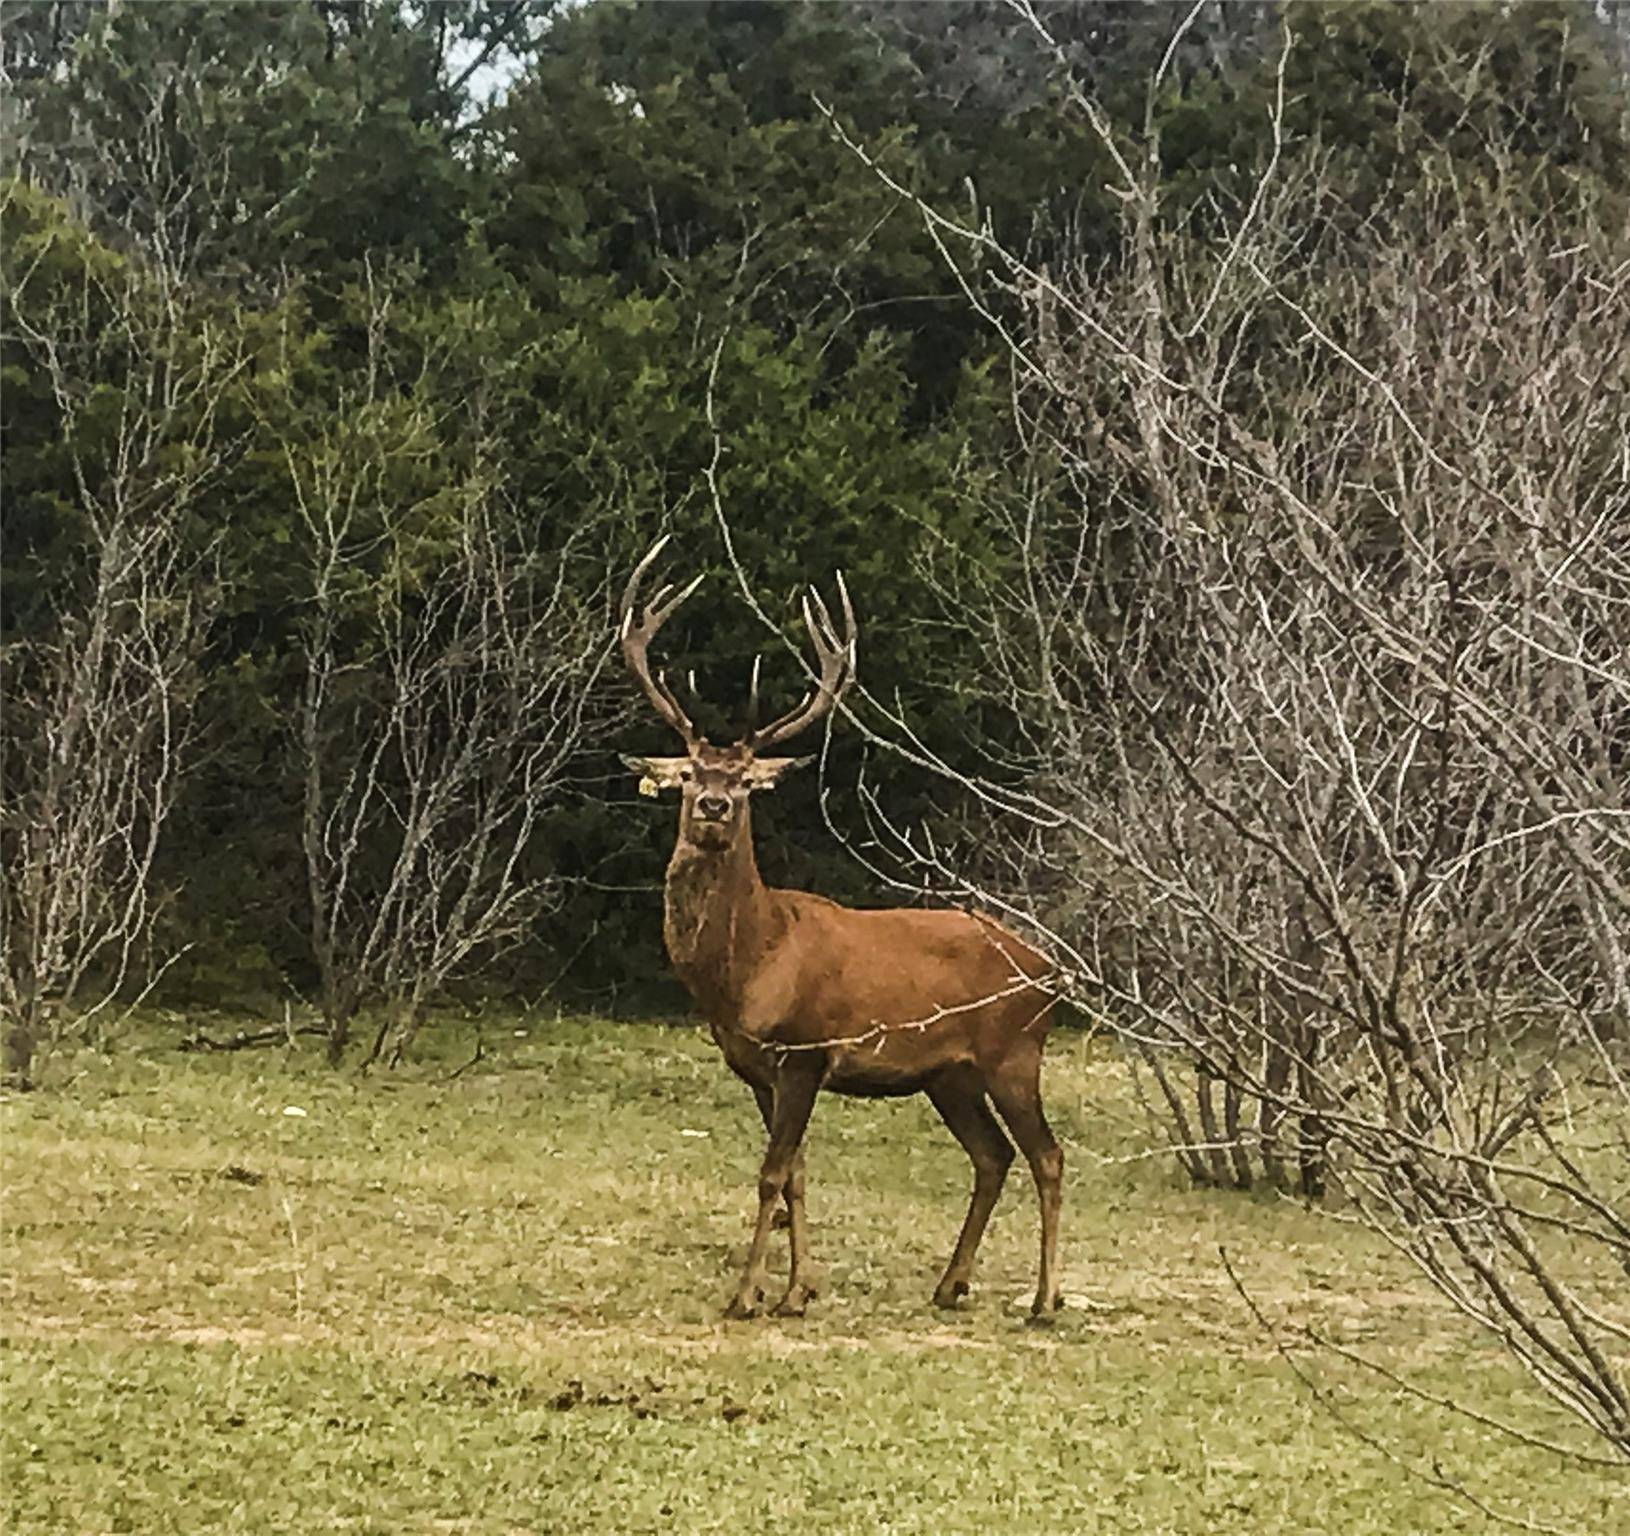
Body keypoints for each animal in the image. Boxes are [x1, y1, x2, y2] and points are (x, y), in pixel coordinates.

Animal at [616, 541, 1062, 1324]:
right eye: (691, 773)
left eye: (746, 782)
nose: (712, 806)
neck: (751, 968)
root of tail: (1055, 973)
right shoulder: (756, 1067)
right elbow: (794, 1174)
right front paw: (798, 1290)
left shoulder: (806, 1052)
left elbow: (770, 1175)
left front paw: (746, 1295)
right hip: (948, 1074)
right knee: (993, 1155)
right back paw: (951, 1284)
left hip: (1015, 1051)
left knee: (1047, 1156)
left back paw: (1043, 1300)